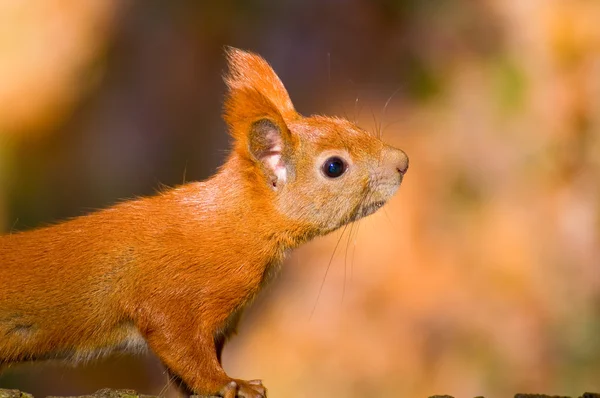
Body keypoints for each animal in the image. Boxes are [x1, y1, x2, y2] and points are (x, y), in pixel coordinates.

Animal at [0, 48, 408, 396]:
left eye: (345, 122)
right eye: (334, 166)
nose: (403, 162)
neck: (232, 223)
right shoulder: (172, 297)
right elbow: (183, 350)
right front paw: (231, 384)